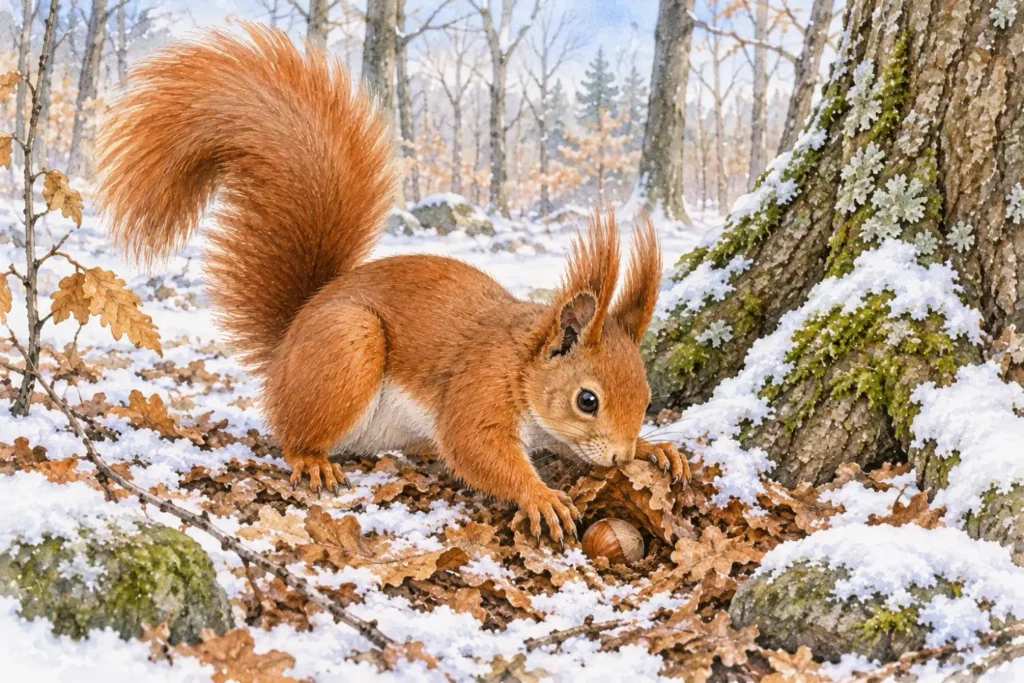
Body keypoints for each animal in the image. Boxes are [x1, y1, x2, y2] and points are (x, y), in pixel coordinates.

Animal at [94, 24, 690, 542]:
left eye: (646, 396)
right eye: (587, 400)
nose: (618, 456)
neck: (522, 362)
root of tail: (288, 343)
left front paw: (654, 449)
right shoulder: (479, 386)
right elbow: (475, 447)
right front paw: (539, 496)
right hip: (346, 346)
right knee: (292, 433)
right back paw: (311, 459)